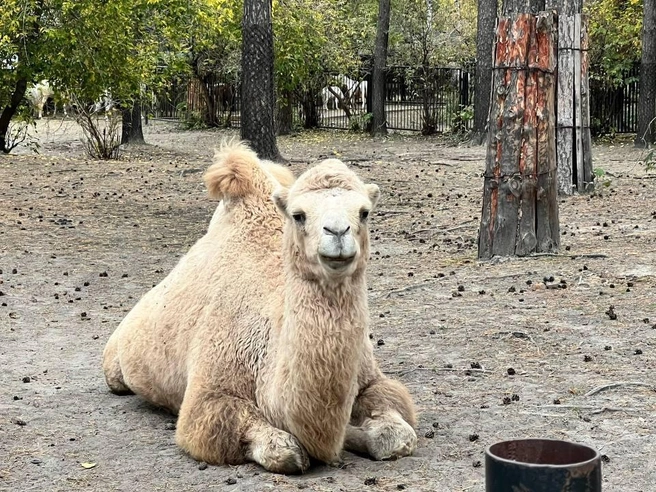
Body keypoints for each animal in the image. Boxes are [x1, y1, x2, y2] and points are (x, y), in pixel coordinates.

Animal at [102, 141, 417, 473]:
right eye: (299, 215)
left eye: (364, 212)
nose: (337, 232)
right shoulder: (208, 395)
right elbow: (283, 450)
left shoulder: (372, 380)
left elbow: (398, 433)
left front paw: (354, 436)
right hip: (115, 363)